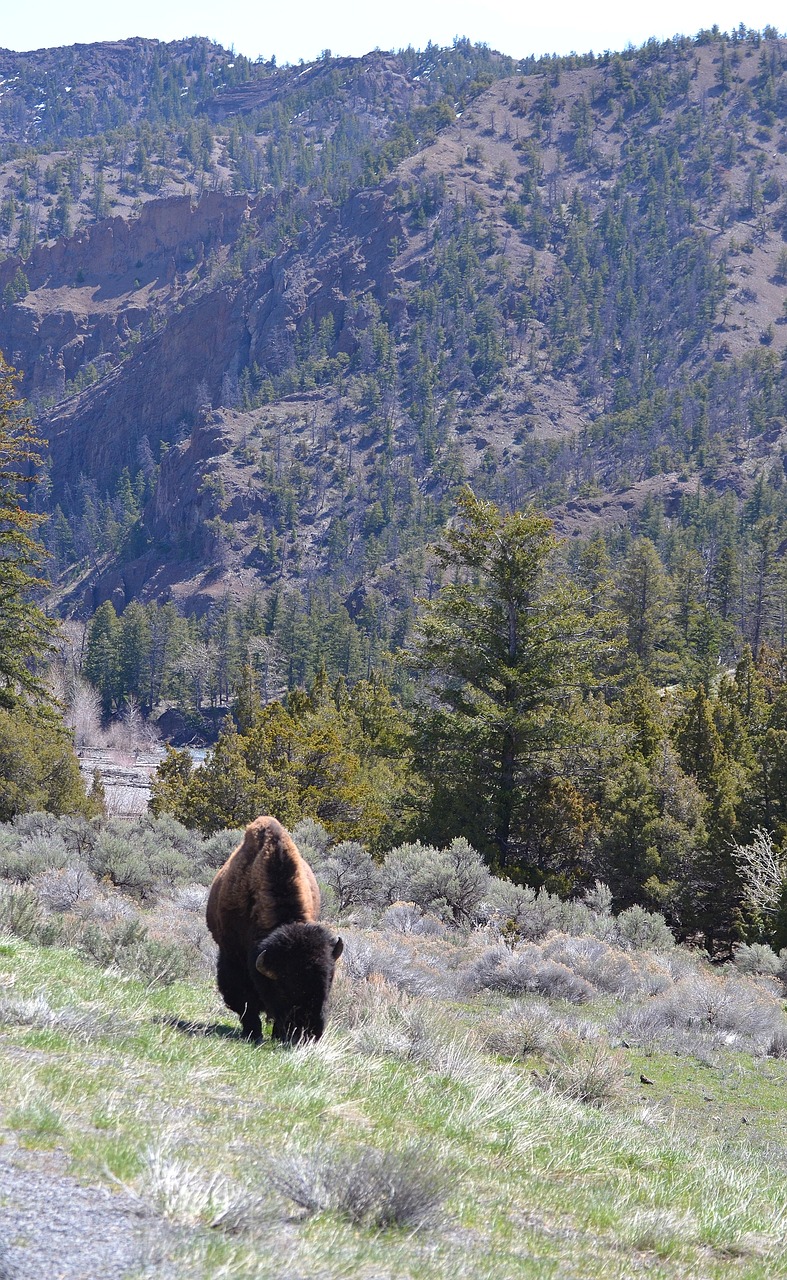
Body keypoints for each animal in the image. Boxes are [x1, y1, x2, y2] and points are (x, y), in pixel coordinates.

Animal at [204, 814, 342, 1044]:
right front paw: (253, 1033)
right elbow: (245, 1003)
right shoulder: (232, 960)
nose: (309, 1033)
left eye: (328, 982)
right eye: (285, 988)